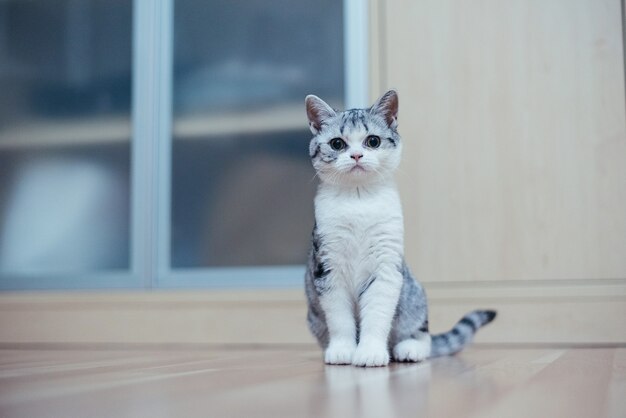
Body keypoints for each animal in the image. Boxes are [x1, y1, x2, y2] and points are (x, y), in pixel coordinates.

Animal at [304, 90, 498, 366]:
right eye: (338, 144)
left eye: (372, 141)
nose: (356, 156)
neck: (358, 198)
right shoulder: (327, 270)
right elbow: (340, 319)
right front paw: (343, 350)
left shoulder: (386, 267)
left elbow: (376, 315)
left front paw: (370, 352)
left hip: (412, 296)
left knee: (422, 335)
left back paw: (408, 349)